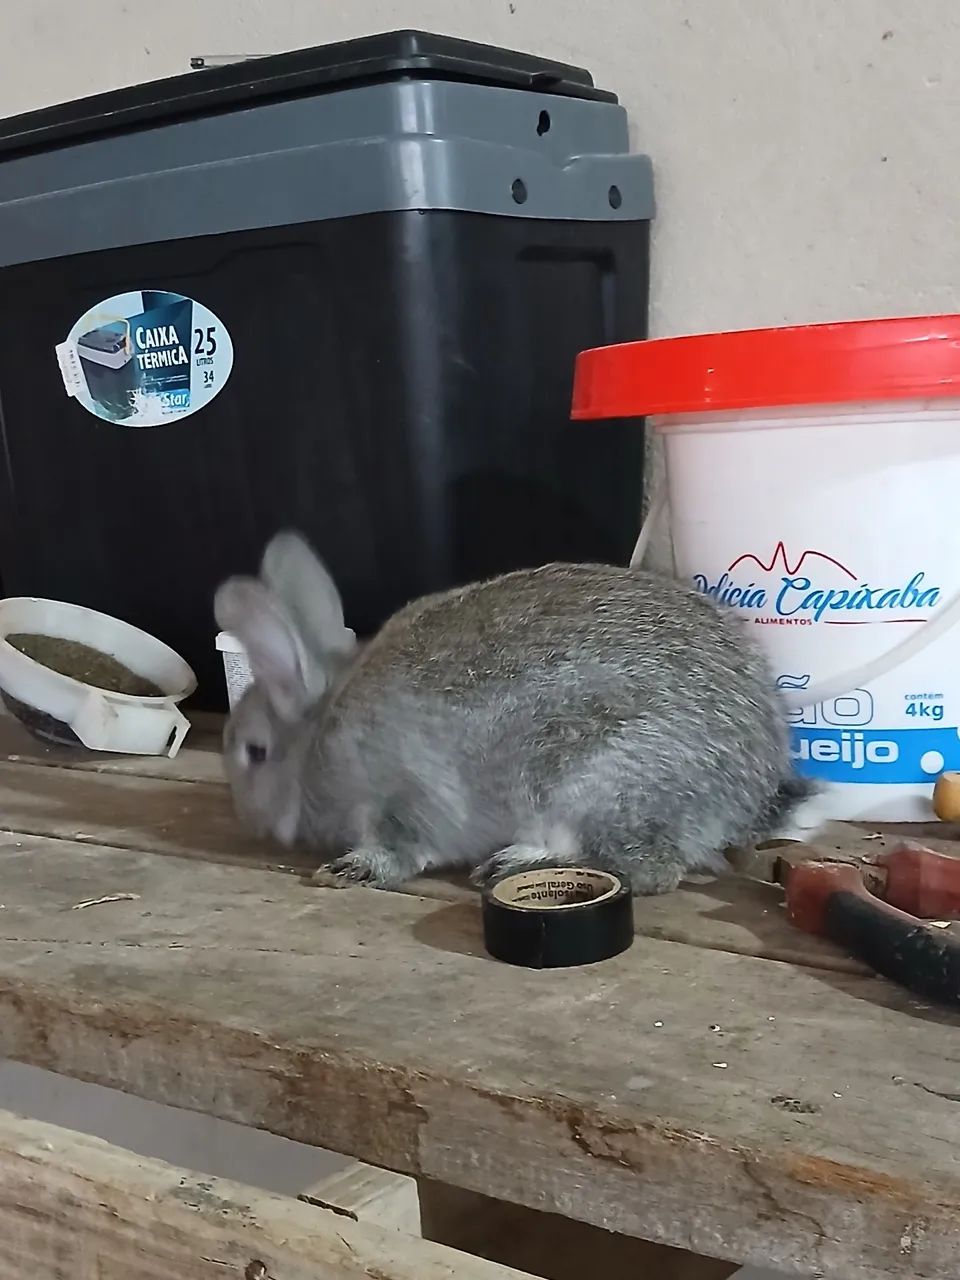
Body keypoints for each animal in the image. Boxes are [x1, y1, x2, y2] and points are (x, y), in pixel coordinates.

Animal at [214, 531, 812, 894]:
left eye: (255, 752)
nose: (245, 818)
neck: (320, 734)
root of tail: (746, 798)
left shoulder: (403, 797)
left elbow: (400, 845)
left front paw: (353, 868)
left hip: (596, 784)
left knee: (646, 869)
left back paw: (517, 860)